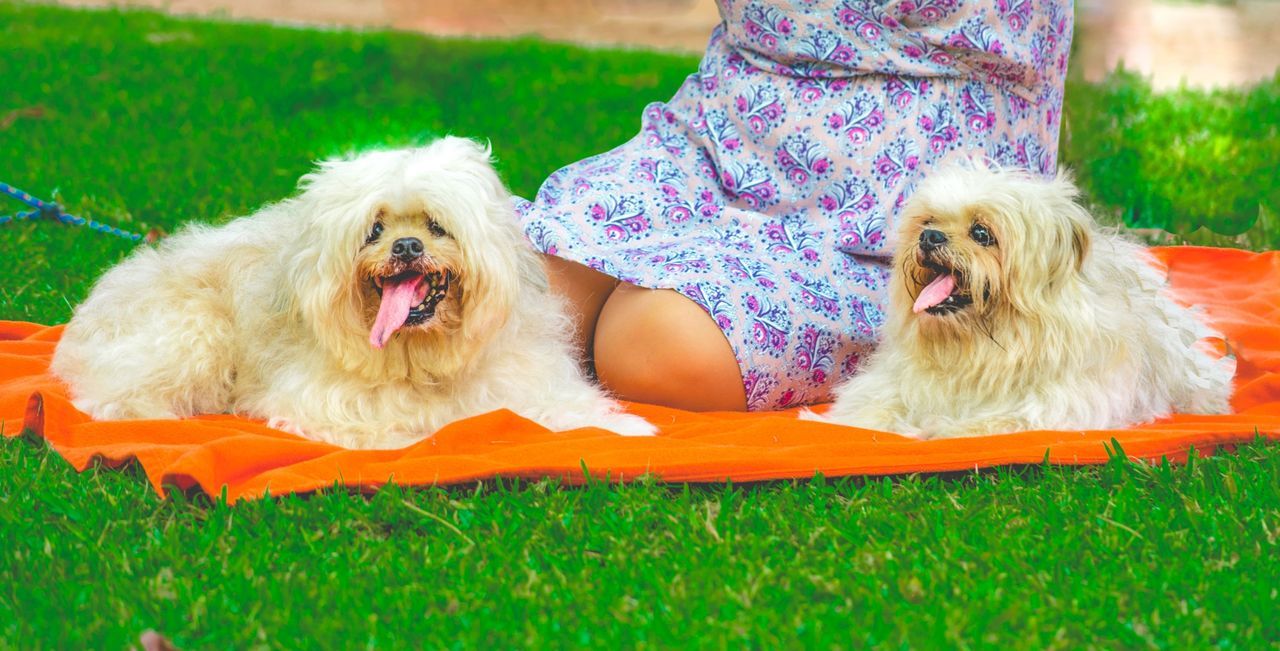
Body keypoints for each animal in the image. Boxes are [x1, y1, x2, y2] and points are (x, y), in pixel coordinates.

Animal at [51, 136, 655, 450]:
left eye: (436, 226)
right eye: (374, 229)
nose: (407, 246)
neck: (422, 358)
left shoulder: (522, 384)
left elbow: (566, 412)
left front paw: (623, 426)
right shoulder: (331, 403)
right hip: (195, 335)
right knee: (109, 399)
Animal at [803, 162, 1233, 439]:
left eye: (981, 233)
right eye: (927, 222)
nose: (929, 237)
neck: (980, 347)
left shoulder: (1051, 407)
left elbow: (984, 424)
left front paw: (937, 428)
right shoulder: (886, 387)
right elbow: (871, 409)